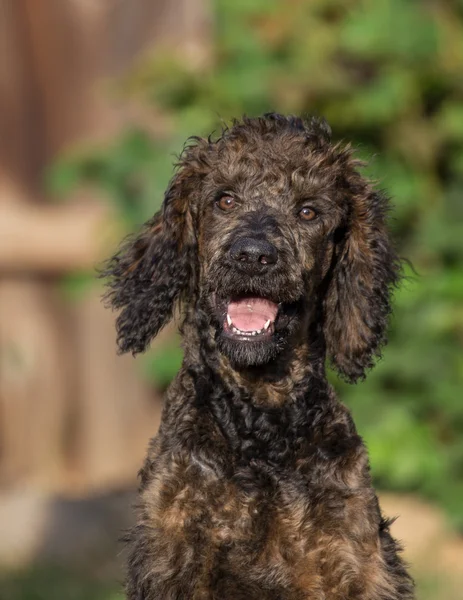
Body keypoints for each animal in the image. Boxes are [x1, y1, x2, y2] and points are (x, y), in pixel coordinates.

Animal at [103, 113, 416, 600]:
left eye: (308, 211)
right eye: (224, 200)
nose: (252, 256)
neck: (261, 426)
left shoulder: (350, 560)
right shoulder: (174, 559)